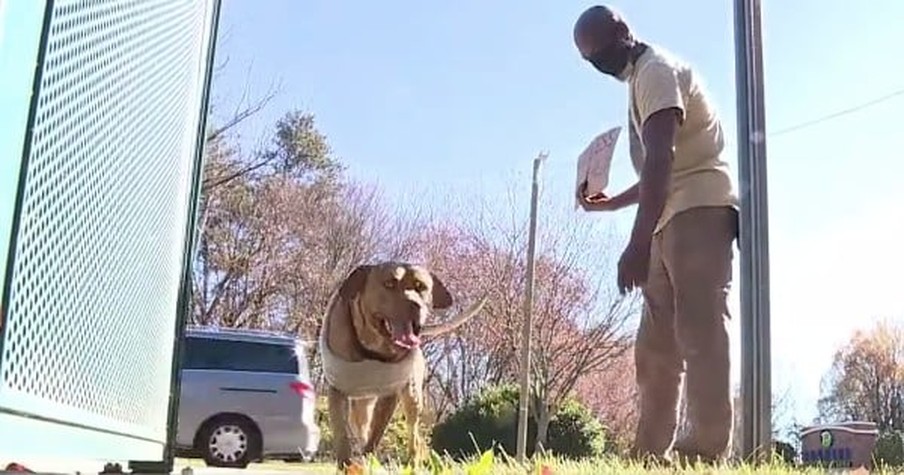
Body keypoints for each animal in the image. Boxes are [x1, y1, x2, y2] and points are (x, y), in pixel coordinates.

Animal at [320, 262, 488, 470]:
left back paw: (412, 462)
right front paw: (347, 464)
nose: (415, 304)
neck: (373, 351)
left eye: (421, 286)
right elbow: (341, 433)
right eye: (389, 283)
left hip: (412, 397)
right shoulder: (337, 391)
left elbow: (376, 434)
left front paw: (368, 460)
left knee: (413, 434)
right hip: (361, 405)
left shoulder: (390, 393)